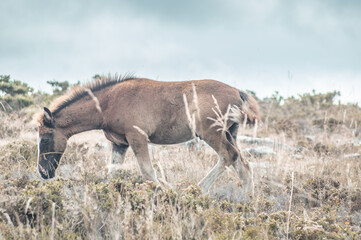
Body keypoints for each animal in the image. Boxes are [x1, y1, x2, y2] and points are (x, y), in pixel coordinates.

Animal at [36, 76, 258, 193]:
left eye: (45, 138)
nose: (43, 172)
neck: (108, 102)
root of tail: (238, 92)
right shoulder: (120, 144)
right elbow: (112, 172)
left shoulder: (137, 138)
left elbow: (148, 172)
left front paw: (164, 194)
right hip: (230, 133)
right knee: (243, 165)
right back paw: (248, 201)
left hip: (212, 133)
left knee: (228, 156)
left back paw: (197, 189)